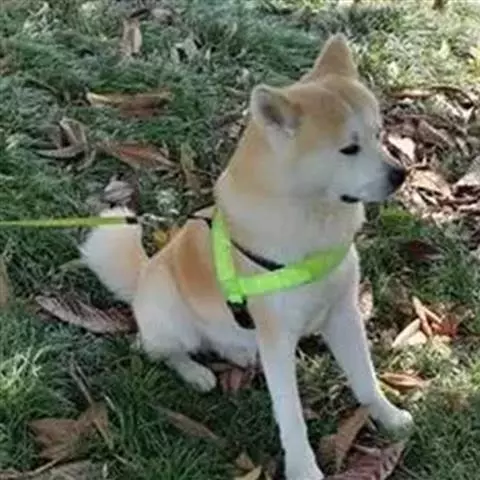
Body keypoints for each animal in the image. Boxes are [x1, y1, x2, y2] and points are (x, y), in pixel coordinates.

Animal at [82, 34, 413, 480]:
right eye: (349, 148)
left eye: (379, 134)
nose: (400, 174)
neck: (311, 220)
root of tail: (143, 276)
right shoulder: (278, 339)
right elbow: (291, 417)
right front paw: (303, 468)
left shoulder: (344, 315)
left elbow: (365, 379)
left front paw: (388, 415)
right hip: (168, 310)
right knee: (157, 350)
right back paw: (195, 371)